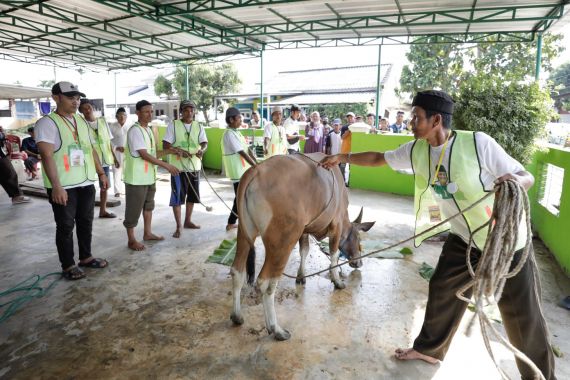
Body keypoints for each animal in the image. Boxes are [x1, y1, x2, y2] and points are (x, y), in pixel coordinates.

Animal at [227, 153, 372, 340]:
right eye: (359, 238)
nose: (359, 262)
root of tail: (256, 170)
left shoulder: (304, 229)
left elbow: (304, 250)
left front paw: (301, 276)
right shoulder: (336, 225)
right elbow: (333, 255)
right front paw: (337, 281)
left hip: (245, 234)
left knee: (237, 271)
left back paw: (237, 316)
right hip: (283, 243)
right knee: (266, 282)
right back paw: (276, 328)